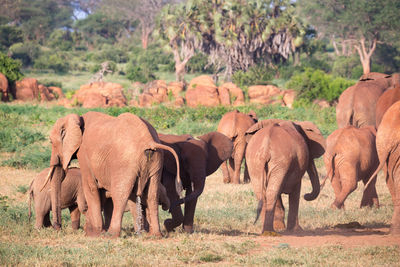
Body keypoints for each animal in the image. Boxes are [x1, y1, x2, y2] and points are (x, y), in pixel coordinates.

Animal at [43, 112, 181, 238]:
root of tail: (149, 141)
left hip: (124, 163)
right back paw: (155, 235)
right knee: (152, 194)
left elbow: (91, 187)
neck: (77, 119)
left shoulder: (84, 154)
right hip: (156, 161)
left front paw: (94, 234)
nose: (57, 227)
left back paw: (111, 234)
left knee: (120, 194)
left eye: (51, 142)